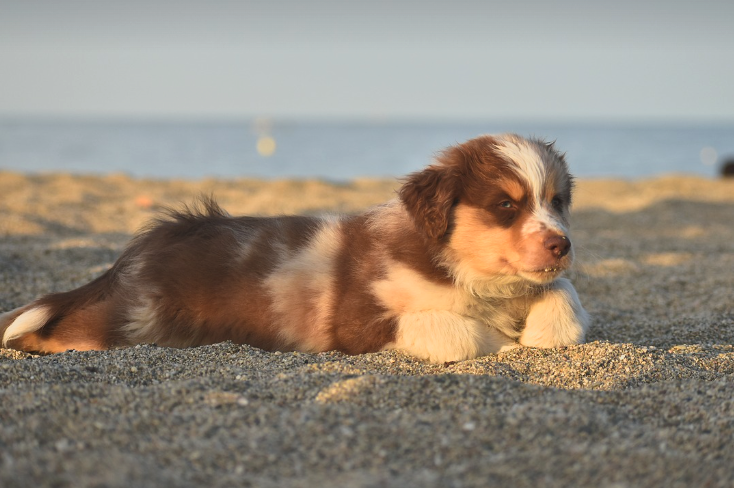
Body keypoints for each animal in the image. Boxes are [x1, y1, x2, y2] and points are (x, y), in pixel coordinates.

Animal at [0, 133, 588, 362]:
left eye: (557, 201)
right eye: (506, 206)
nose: (562, 245)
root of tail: (148, 242)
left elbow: (566, 302)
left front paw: (538, 331)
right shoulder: (360, 321)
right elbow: (458, 332)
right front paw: (505, 341)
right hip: (136, 321)